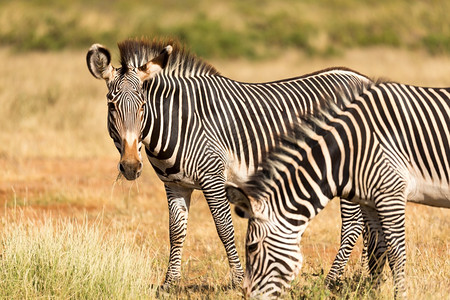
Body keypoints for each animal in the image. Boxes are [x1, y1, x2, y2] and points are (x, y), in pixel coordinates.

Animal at [85, 38, 372, 288]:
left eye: (143, 106)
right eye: (111, 106)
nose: (131, 167)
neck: (180, 121)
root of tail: (364, 78)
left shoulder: (213, 177)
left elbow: (224, 228)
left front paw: (238, 280)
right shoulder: (175, 184)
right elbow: (176, 231)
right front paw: (170, 283)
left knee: (353, 225)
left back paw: (332, 280)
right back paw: (369, 275)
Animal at [227, 81, 450, 298]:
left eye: (252, 247)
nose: (246, 295)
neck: (350, 150)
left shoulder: (391, 194)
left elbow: (396, 254)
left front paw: (400, 295)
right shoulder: (370, 201)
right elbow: (377, 253)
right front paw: (375, 293)